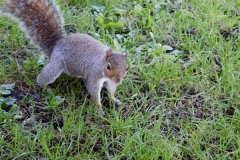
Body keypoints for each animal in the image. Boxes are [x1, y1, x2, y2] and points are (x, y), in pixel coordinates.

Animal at [0, 0, 128, 115]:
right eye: (108, 67)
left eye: (127, 68)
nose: (119, 80)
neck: (102, 64)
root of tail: (56, 45)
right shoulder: (94, 75)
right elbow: (94, 91)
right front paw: (98, 109)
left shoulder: (110, 81)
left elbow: (111, 89)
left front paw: (114, 99)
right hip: (57, 65)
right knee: (43, 78)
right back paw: (47, 87)